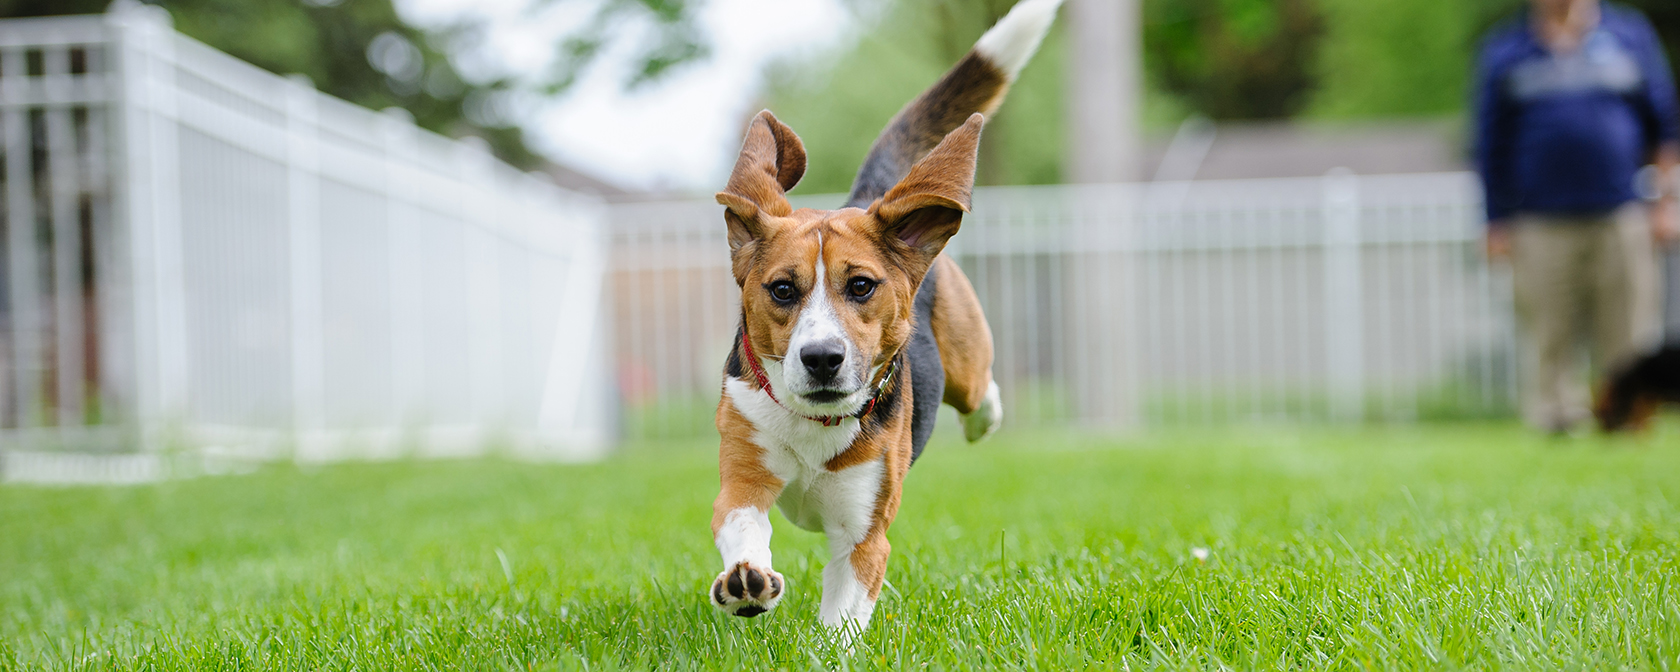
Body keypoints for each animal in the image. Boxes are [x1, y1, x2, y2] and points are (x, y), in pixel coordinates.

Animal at [705, 0, 1061, 631]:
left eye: (862, 286)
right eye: (782, 289)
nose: (822, 359)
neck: (815, 422)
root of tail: (865, 198)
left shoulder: (863, 535)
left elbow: (842, 619)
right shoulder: (741, 480)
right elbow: (744, 524)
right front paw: (747, 581)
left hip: (965, 364)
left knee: (980, 390)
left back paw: (985, 418)